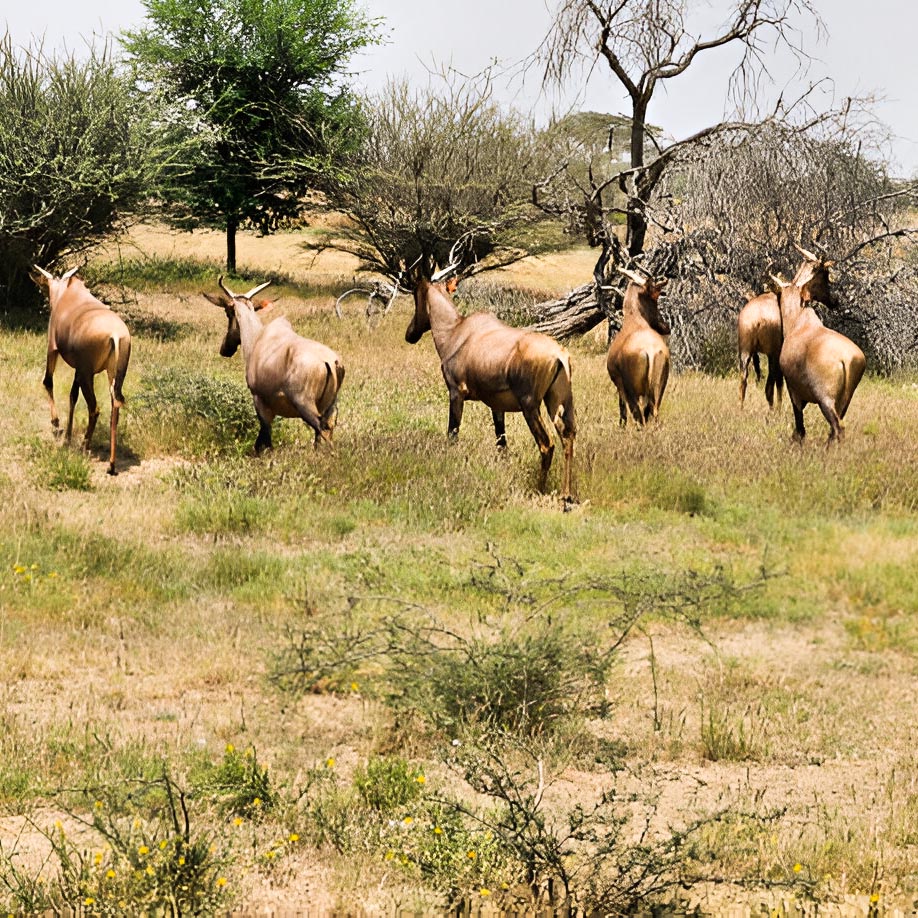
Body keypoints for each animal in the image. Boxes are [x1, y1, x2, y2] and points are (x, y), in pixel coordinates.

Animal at [34, 266, 132, 478]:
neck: (68, 292)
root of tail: (115, 334)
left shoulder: (53, 349)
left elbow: (48, 381)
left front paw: (57, 426)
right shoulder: (79, 370)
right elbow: (72, 396)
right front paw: (68, 437)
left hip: (88, 375)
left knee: (94, 408)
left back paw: (85, 446)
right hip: (112, 376)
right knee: (115, 406)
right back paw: (111, 465)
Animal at [204, 280, 344, 452]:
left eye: (228, 312)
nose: (225, 349)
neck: (259, 338)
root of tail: (330, 362)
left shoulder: (259, 400)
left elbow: (264, 437)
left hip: (305, 405)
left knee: (322, 431)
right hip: (330, 407)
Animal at [404, 266, 576, 504]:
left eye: (415, 294)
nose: (409, 334)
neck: (459, 332)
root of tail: (559, 354)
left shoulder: (456, 393)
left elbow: (452, 433)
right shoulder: (497, 406)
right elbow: (501, 442)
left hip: (530, 407)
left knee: (546, 444)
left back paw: (539, 489)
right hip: (558, 404)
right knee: (568, 436)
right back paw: (566, 495)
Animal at [608, 264, 672, 426]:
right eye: (656, 295)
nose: (666, 327)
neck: (635, 322)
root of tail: (650, 351)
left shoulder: (620, 386)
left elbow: (622, 411)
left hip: (633, 393)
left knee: (639, 416)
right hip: (658, 390)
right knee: (653, 412)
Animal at [772, 244, 868, 446]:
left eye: (826, 275)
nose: (834, 301)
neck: (801, 323)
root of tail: (848, 359)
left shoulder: (793, 391)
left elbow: (799, 425)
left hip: (826, 400)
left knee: (838, 428)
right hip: (844, 401)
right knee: (836, 429)